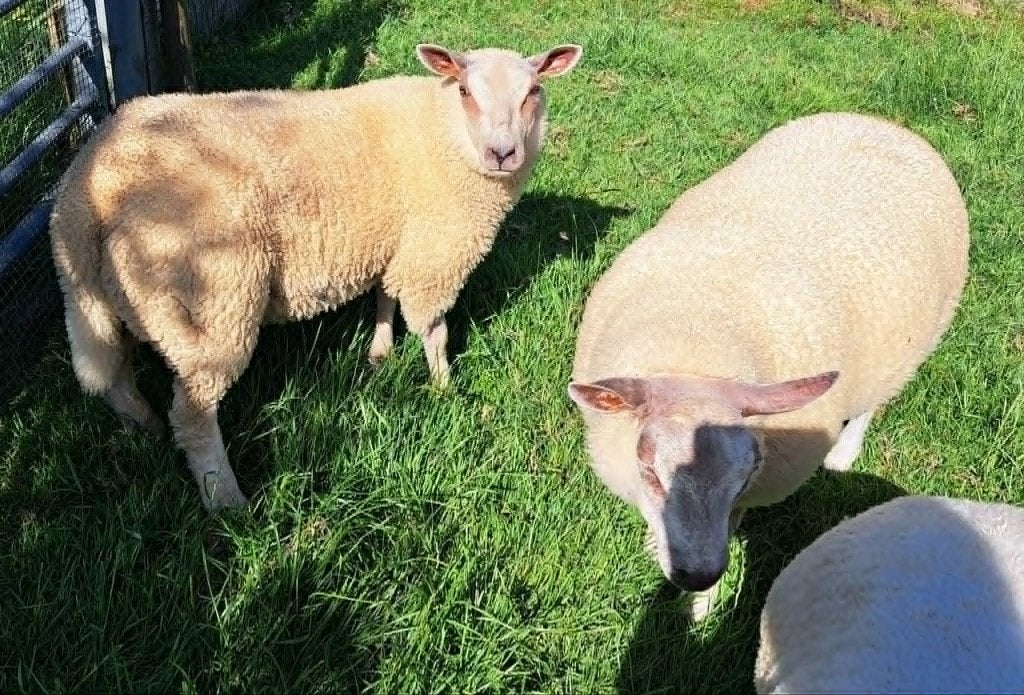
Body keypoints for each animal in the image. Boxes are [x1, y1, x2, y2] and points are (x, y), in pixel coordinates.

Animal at [49, 42, 583, 511]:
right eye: (466, 91)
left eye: (533, 91)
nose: (502, 153)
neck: (444, 131)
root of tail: (87, 190)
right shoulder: (434, 253)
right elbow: (434, 329)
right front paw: (444, 388)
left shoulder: (393, 240)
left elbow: (385, 296)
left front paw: (380, 353)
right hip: (216, 301)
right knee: (194, 414)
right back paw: (227, 501)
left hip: (100, 300)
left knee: (113, 375)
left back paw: (145, 431)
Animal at [567, 112, 969, 610]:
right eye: (650, 472)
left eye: (745, 478)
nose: (696, 575)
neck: (696, 355)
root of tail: (884, 124)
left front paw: (702, 605)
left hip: (908, 345)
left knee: (872, 401)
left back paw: (843, 453)